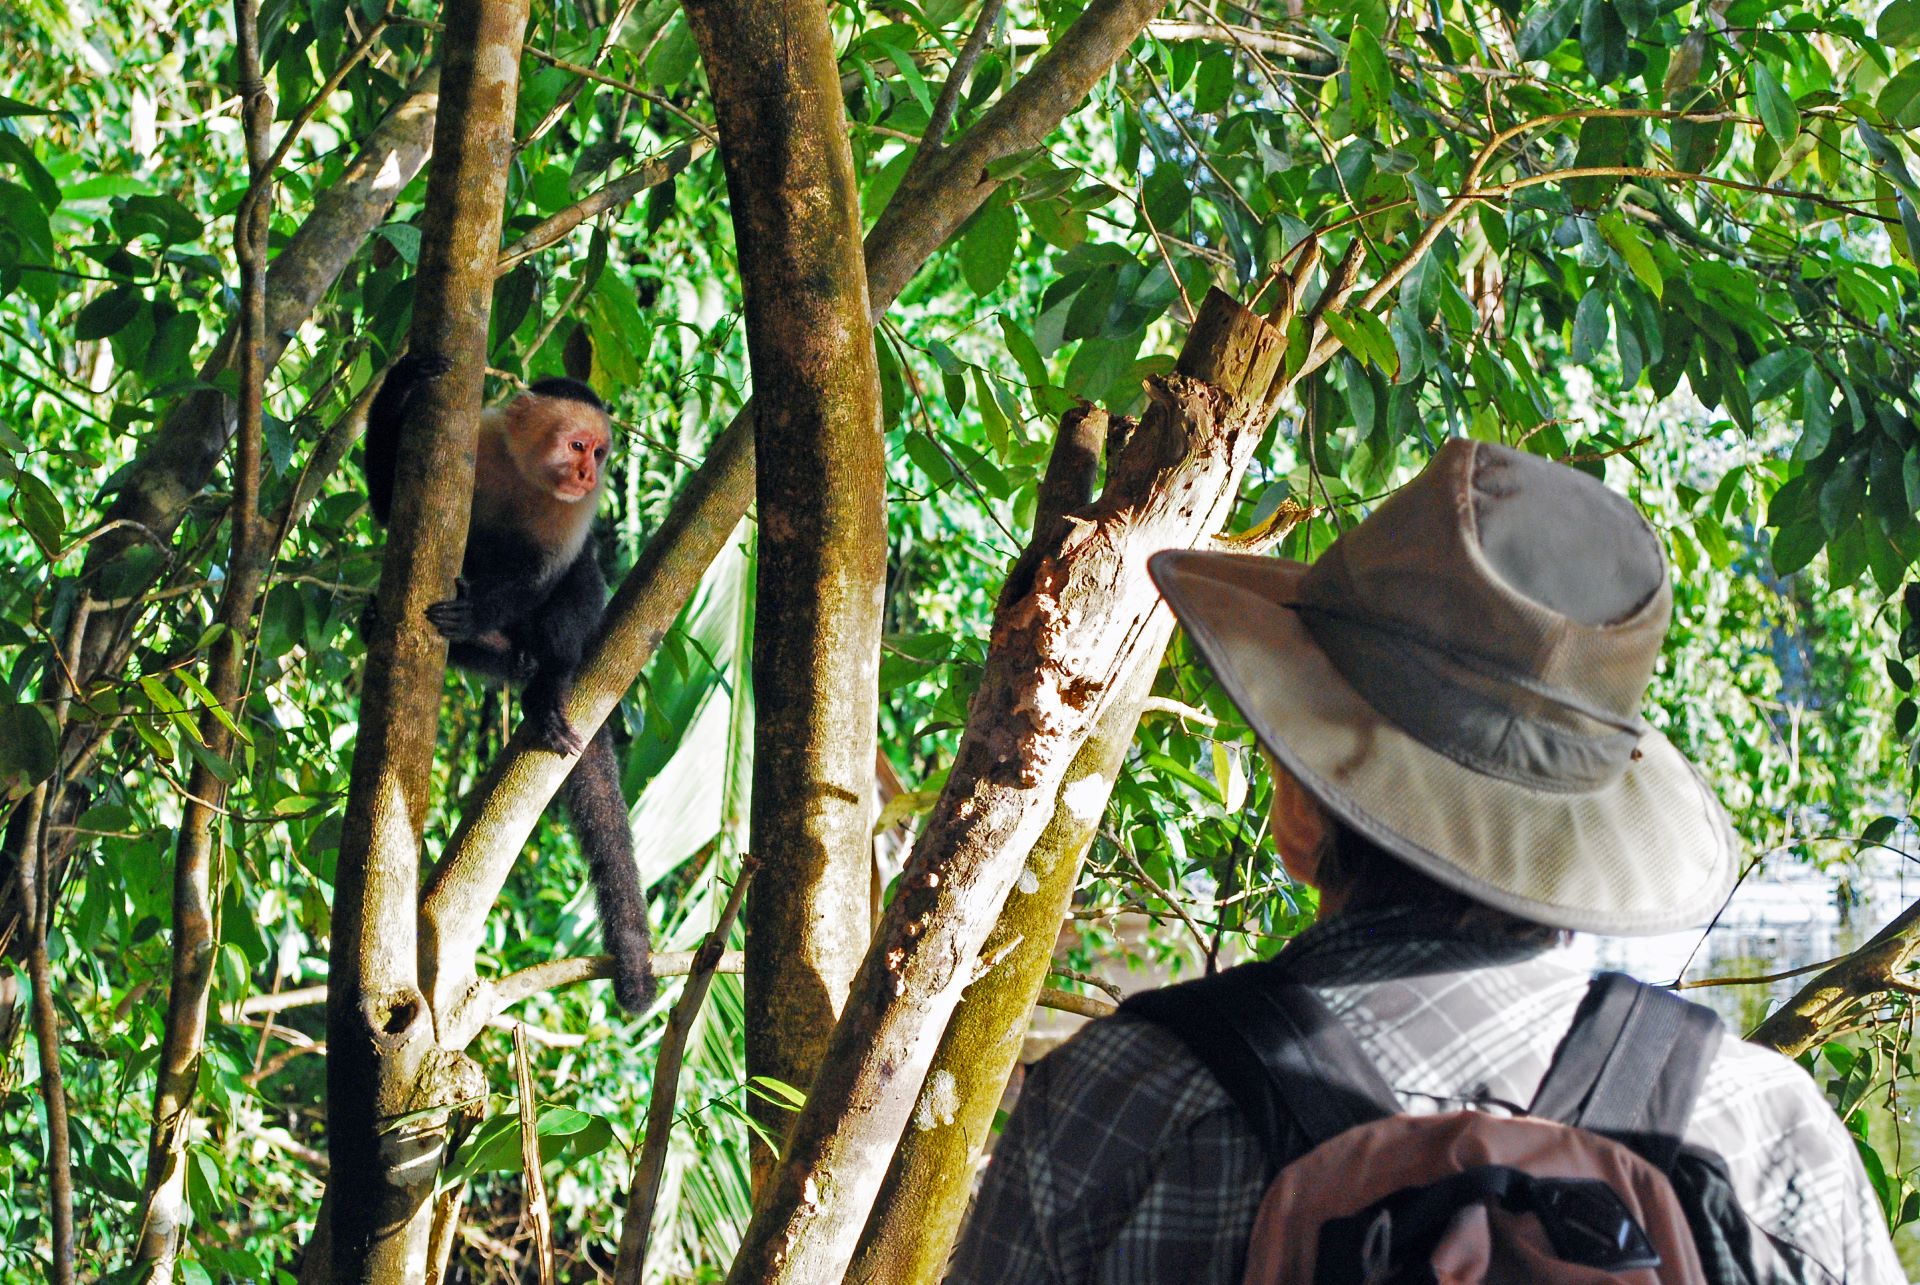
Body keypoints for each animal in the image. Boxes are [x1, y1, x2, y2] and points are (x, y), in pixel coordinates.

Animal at [362, 352, 655, 1013]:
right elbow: (389, 505)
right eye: (577, 444)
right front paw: (402, 380)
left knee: (577, 587)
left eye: (600, 454)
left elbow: (543, 577)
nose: (586, 471)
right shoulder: (478, 440)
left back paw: (545, 682)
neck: (528, 474)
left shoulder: (578, 510)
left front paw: (478, 613)